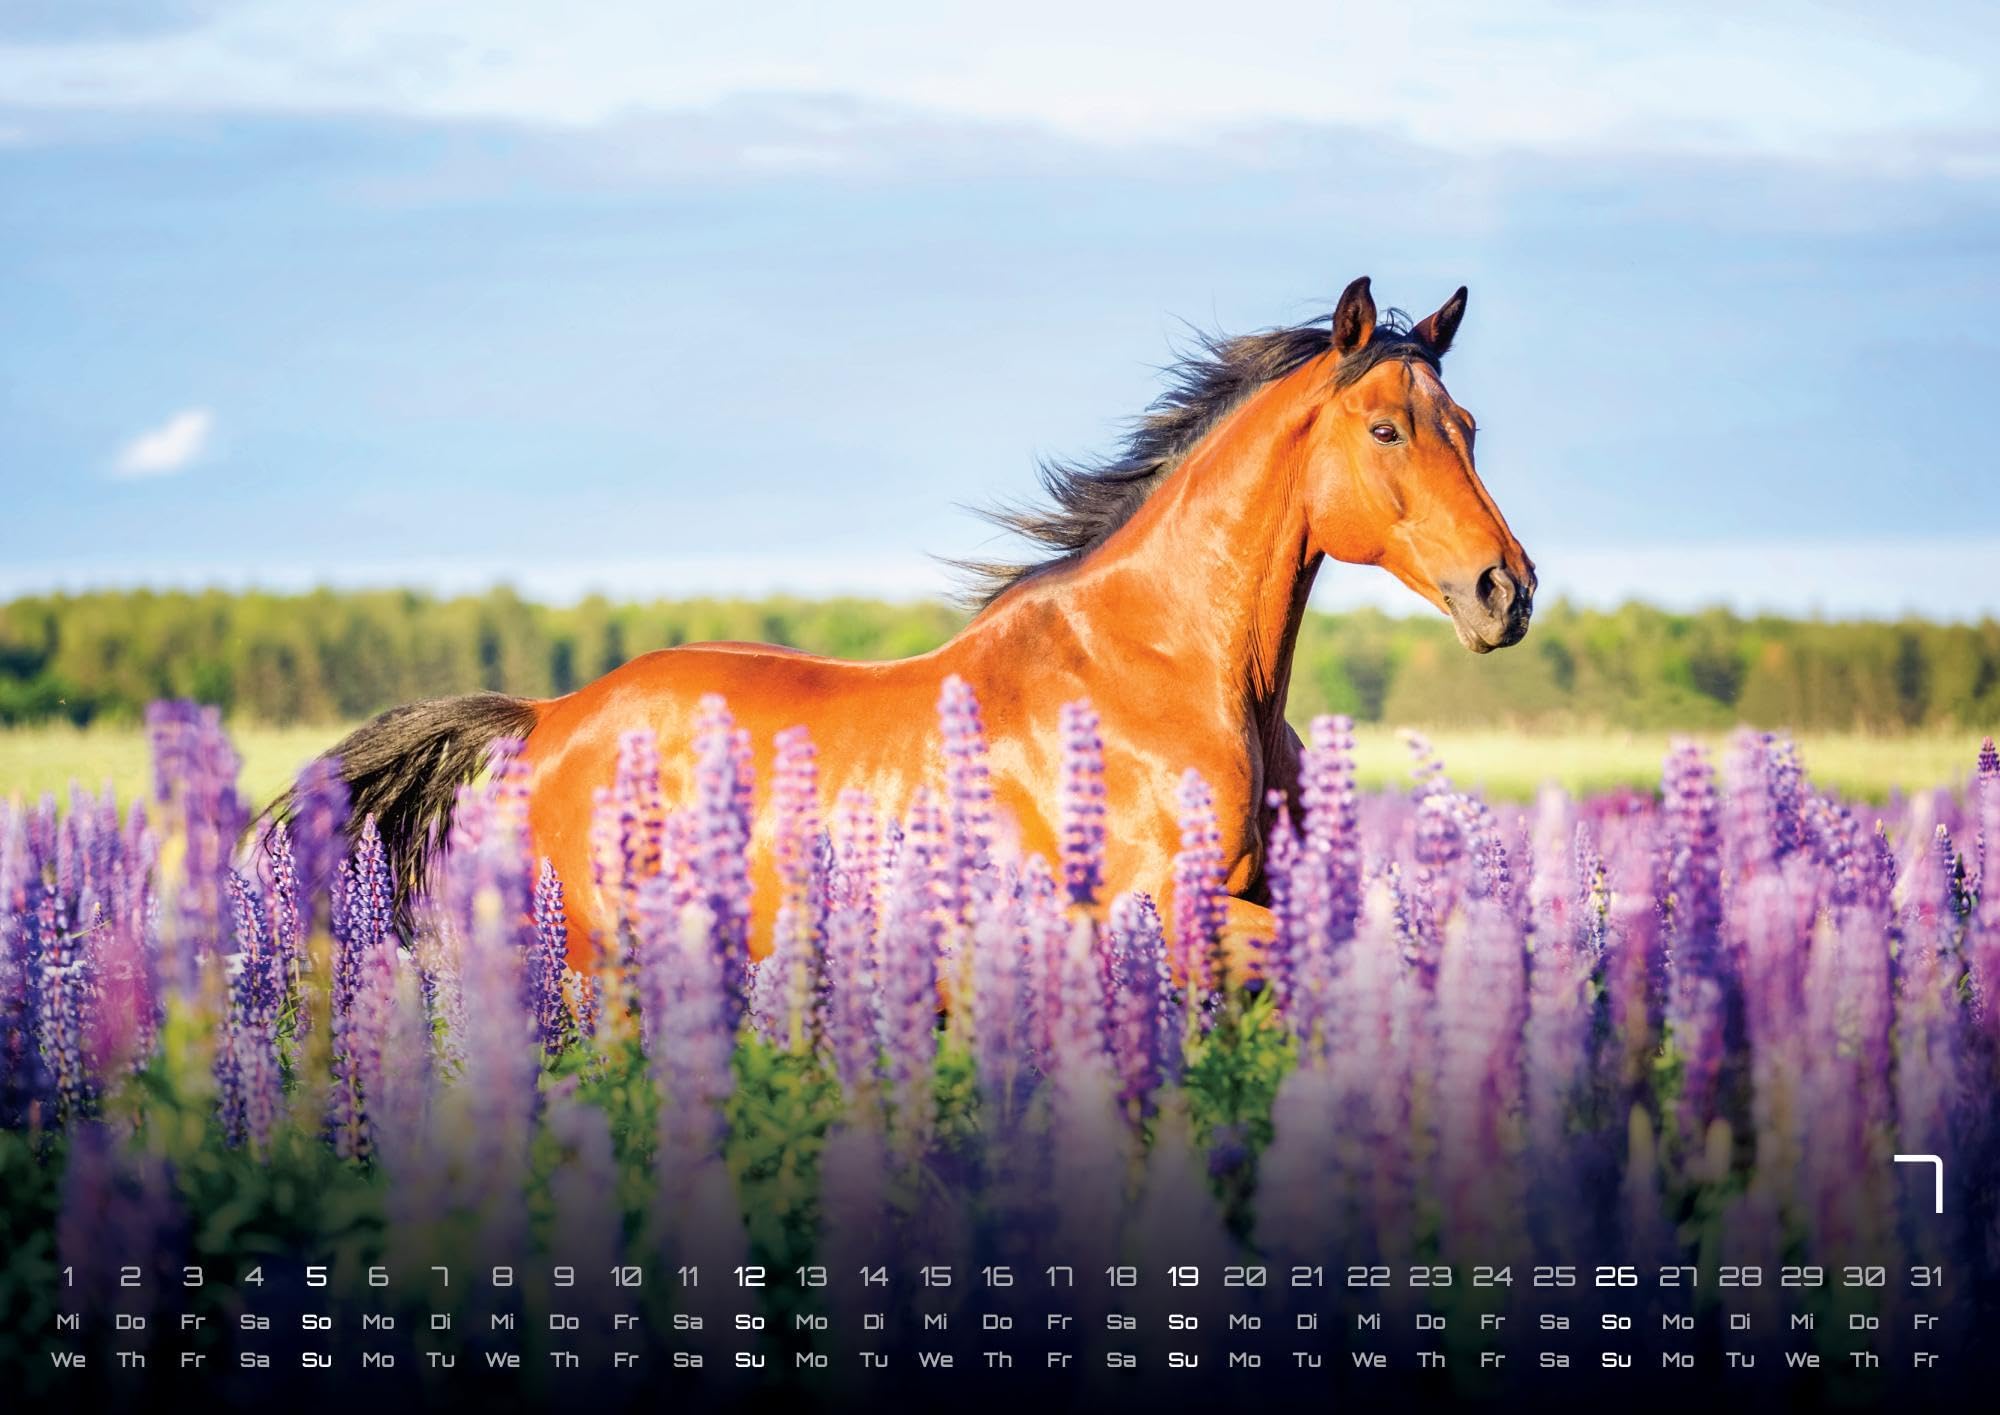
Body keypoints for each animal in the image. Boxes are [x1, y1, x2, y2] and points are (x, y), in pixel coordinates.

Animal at [303, 276, 1534, 969]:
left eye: (1469, 423)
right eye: (1384, 429)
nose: (1505, 591)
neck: (1172, 671)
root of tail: (551, 714)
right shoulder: (1164, 916)